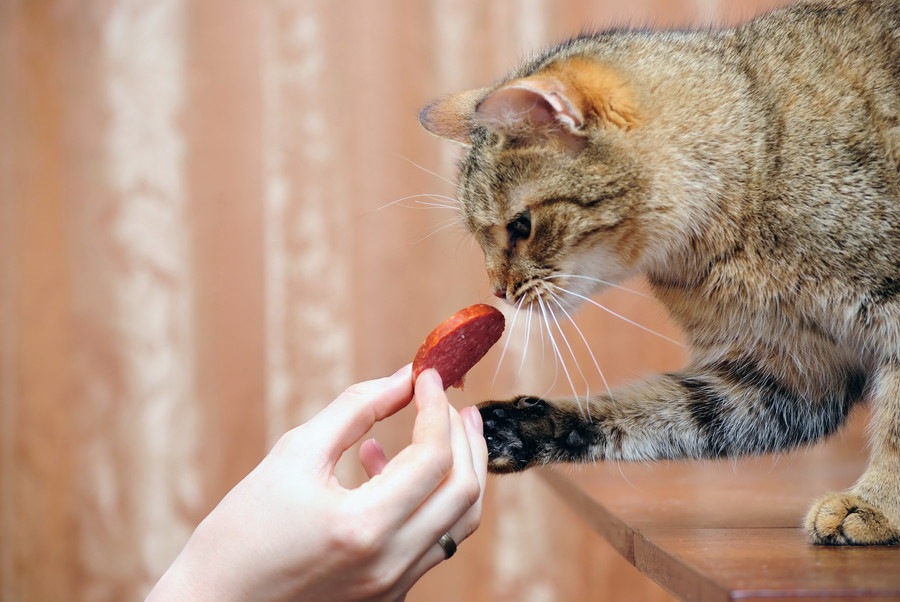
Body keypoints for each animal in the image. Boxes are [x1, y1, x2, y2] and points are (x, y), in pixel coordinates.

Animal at [420, 0, 900, 544]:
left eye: (520, 226)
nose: (498, 290)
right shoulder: (782, 372)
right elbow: (664, 411)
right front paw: (520, 428)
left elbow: (895, 425)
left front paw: (876, 503)